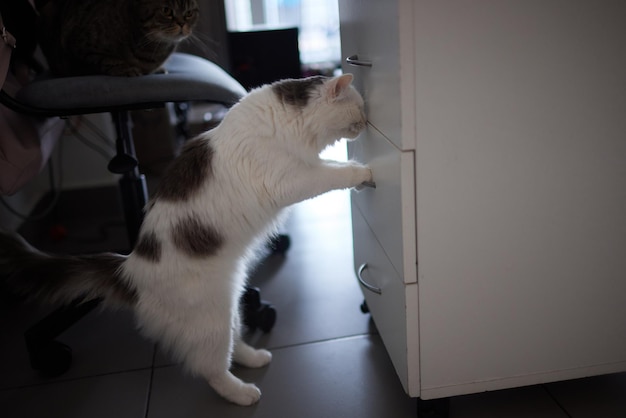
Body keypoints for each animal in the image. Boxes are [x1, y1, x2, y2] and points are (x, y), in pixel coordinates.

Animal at [0, 74, 370, 404]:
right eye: (360, 109)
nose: (367, 123)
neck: (287, 120)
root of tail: (130, 268)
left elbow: (332, 165)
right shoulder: (294, 178)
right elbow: (335, 173)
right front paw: (364, 172)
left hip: (230, 303)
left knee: (233, 344)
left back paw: (255, 358)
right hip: (212, 317)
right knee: (212, 368)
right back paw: (243, 393)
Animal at [37, 0, 199, 76]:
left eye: (189, 13)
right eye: (166, 11)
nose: (182, 23)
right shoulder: (78, 44)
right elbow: (105, 59)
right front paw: (124, 68)